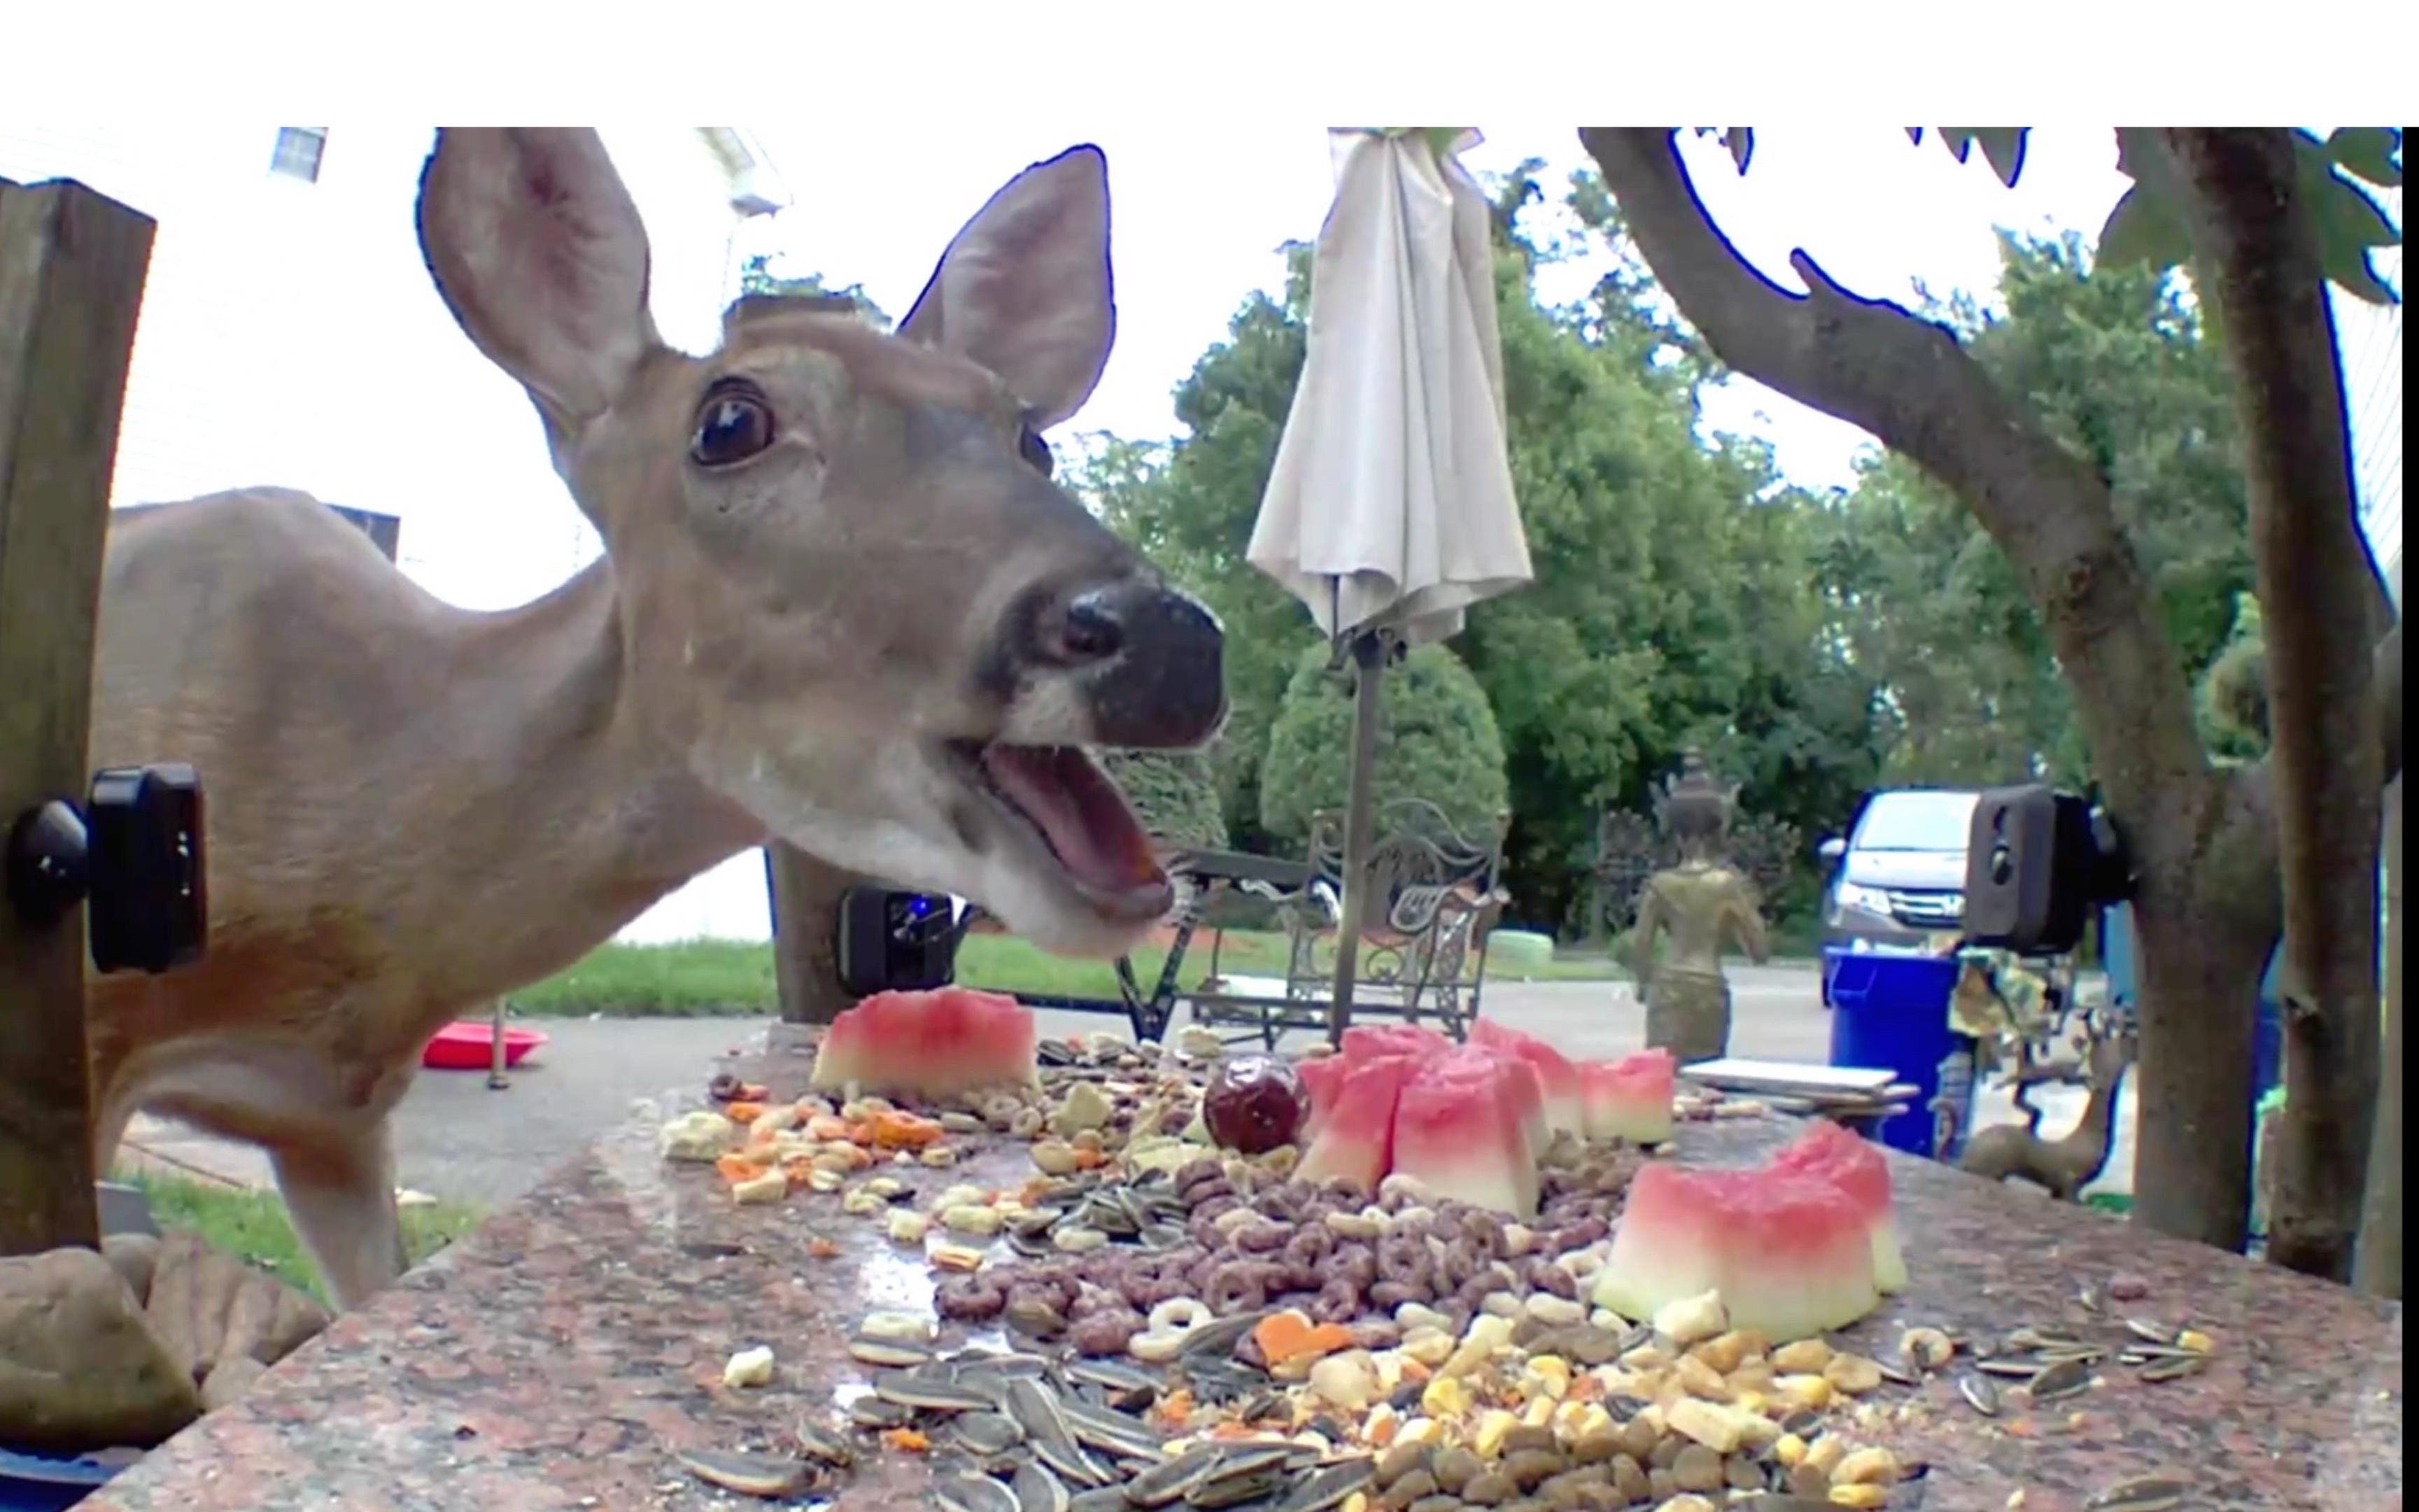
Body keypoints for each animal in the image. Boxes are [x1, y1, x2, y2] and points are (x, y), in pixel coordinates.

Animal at [1954, 1016, 2148, 1204]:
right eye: (2124, 1041)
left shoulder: (2058, 1189)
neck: (2088, 1140)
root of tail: (1966, 1155)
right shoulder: (2070, 1185)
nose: (2137, 1040)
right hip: (1991, 1172)